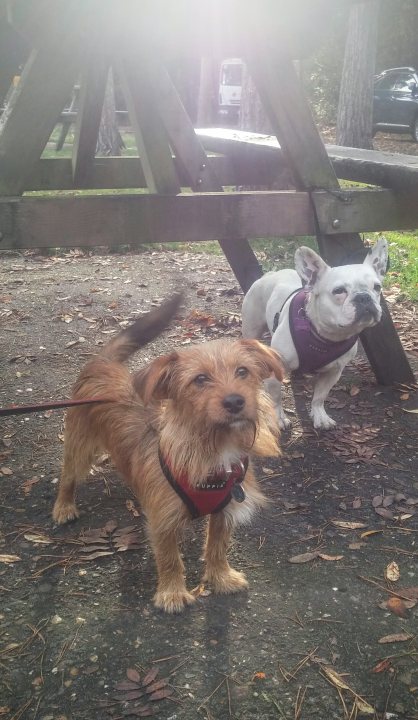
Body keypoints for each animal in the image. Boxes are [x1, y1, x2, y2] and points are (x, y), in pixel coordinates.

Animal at [51, 296, 280, 612]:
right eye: (200, 379)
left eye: (243, 372)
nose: (235, 401)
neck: (212, 447)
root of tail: (103, 363)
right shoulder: (163, 520)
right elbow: (170, 558)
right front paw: (172, 594)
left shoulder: (223, 512)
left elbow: (218, 547)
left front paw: (220, 577)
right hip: (79, 446)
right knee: (68, 476)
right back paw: (64, 506)